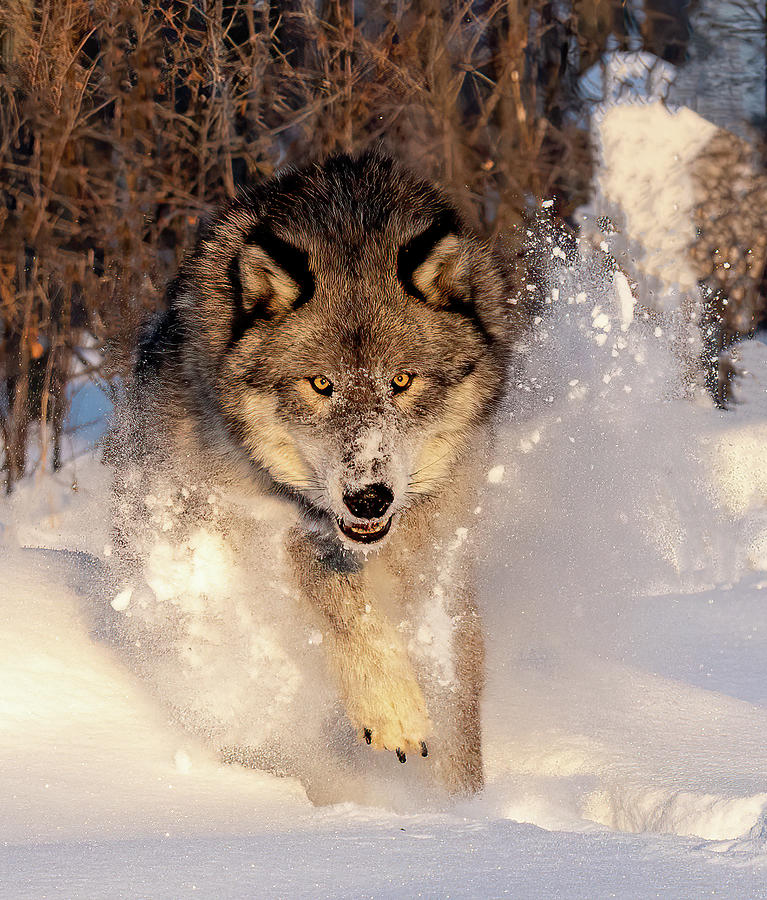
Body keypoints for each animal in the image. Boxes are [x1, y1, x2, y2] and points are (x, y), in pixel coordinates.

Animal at [106, 151, 528, 800]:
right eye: (321, 384)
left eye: (401, 381)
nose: (369, 498)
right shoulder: (270, 519)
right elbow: (328, 580)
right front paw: (391, 708)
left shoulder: (442, 548)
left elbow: (459, 684)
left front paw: (465, 807)